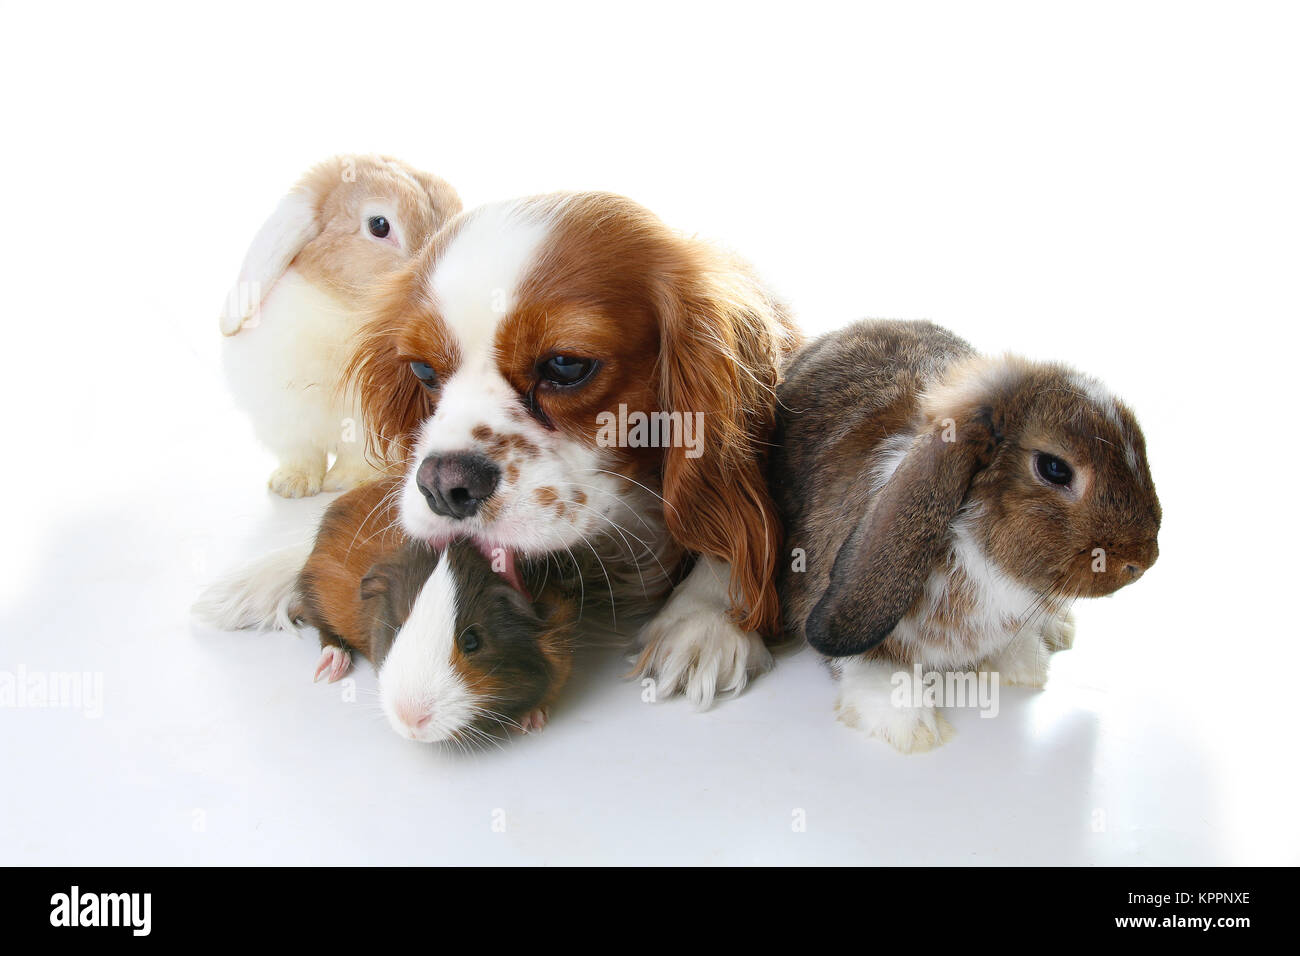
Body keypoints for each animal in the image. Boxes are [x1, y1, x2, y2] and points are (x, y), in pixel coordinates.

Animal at [218, 153, 462, 497]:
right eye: (379, 225)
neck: (348, 314)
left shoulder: (368, 425)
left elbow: (358, 456)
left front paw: (344, 482)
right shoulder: (286, 418)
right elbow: (301, 454)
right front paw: (291, 485)